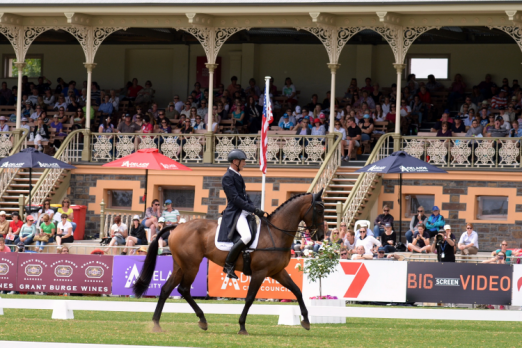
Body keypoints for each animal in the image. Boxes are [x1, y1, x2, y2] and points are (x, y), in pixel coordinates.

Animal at [132, 189, 322, 336]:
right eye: (319, 209)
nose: (320, 235)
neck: (275, 234)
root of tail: (178, 226)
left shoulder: (277, 272)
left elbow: (297, 291)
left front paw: (306, 321)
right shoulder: (260, 273)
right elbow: (250, 298)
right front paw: (242, 326)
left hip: (180, 266)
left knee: (166, 289)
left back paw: (157, 324)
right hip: (192, 265)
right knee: (183, 289)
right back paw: (202, 320)